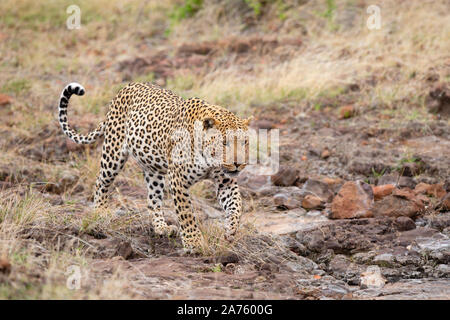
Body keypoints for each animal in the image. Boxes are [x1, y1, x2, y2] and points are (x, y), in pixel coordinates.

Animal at [57, 81, 251, 251]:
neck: (208, 161)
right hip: (113, 153)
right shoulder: (178, 180)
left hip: (153, 169)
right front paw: (193, 242)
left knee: (152, 200)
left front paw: (230, 230)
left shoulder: (225, 182)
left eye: (245, 142)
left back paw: (161, 227)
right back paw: (101, 212)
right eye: (224, 143)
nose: (238, 164)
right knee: (101, 182)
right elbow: (187, 214)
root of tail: (127, 87)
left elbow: (236, 206)